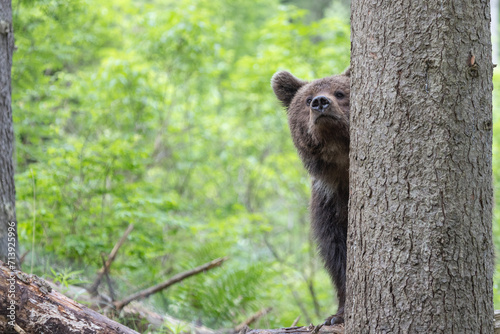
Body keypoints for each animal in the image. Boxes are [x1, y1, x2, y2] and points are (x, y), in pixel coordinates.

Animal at [272, 68, 350, 326]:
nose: (320, 102)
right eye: (307, 99)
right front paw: (337, 315)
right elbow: (336, 251)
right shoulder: (329, 200)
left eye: (340, 92)